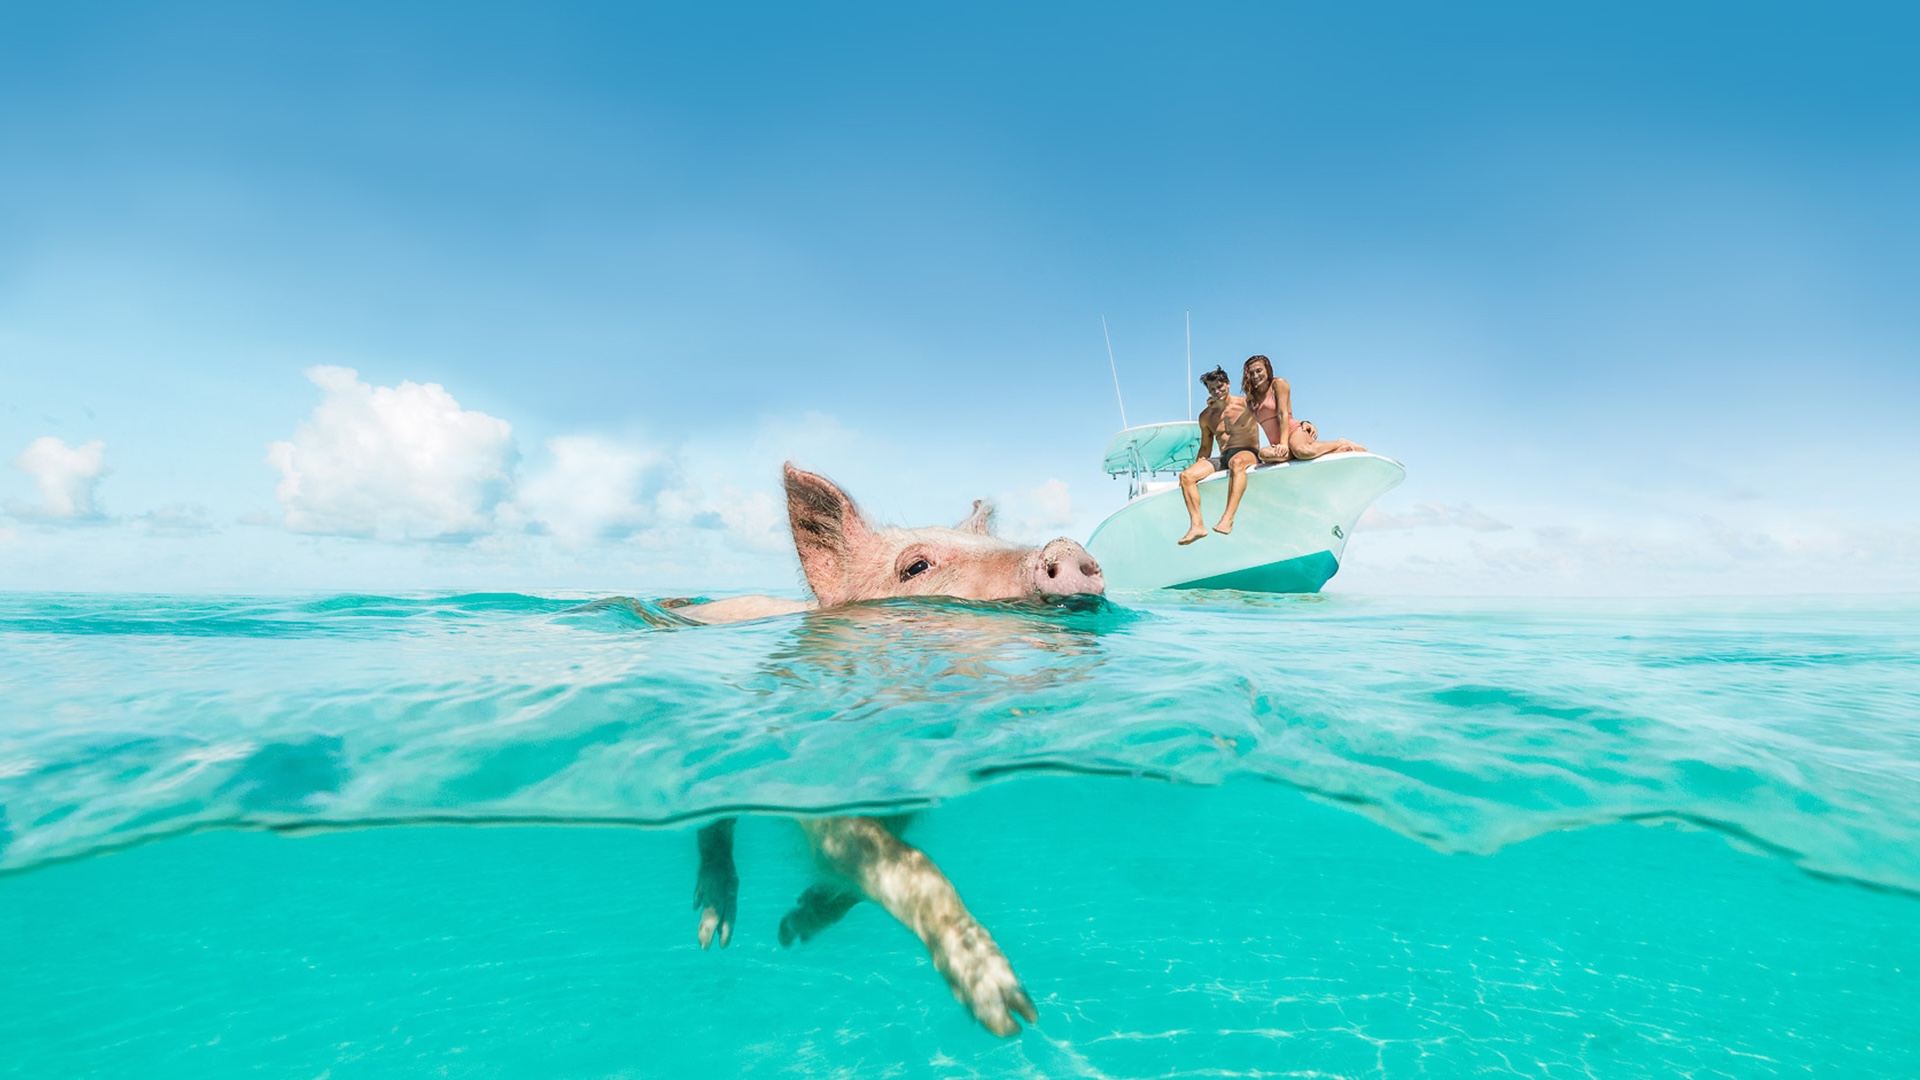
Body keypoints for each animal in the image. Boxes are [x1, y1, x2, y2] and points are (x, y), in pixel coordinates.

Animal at [672, 463, 1105, 1036]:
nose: (1067, 548)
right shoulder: (820, 792)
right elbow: (910, 866)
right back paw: (713, 933)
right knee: (714, 824)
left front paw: (794, 927)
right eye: (915, 567)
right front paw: (1010, 1012)